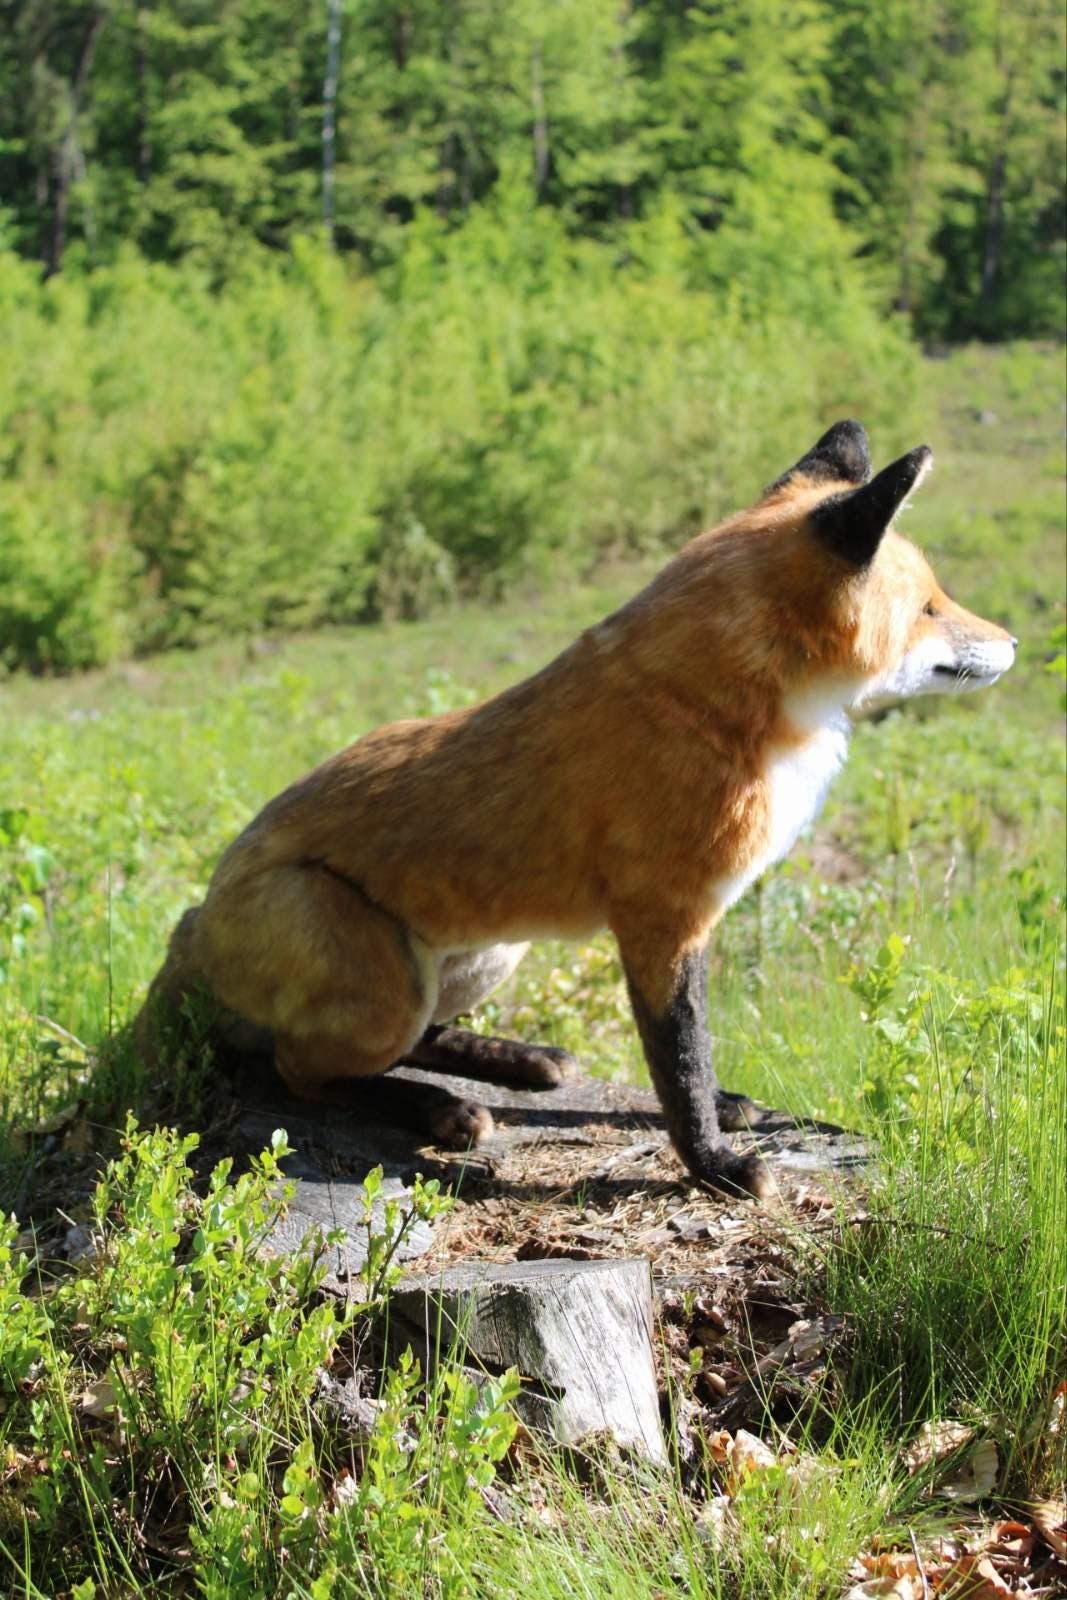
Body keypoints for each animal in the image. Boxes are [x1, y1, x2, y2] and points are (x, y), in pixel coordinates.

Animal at [139, 421, 1016, 1199]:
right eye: (930, 607)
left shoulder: (677, 933)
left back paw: (512, 1061)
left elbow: (693, 1060)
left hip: (486, 952)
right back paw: (434, 1106)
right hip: (386, 983)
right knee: (296, 1068)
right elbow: (680, 1066)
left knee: (406, 1042)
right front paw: (714, 1166)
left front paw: (725, 1116)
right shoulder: (664, 923)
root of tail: (197, 918)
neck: (710, 706)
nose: (1010, 644)